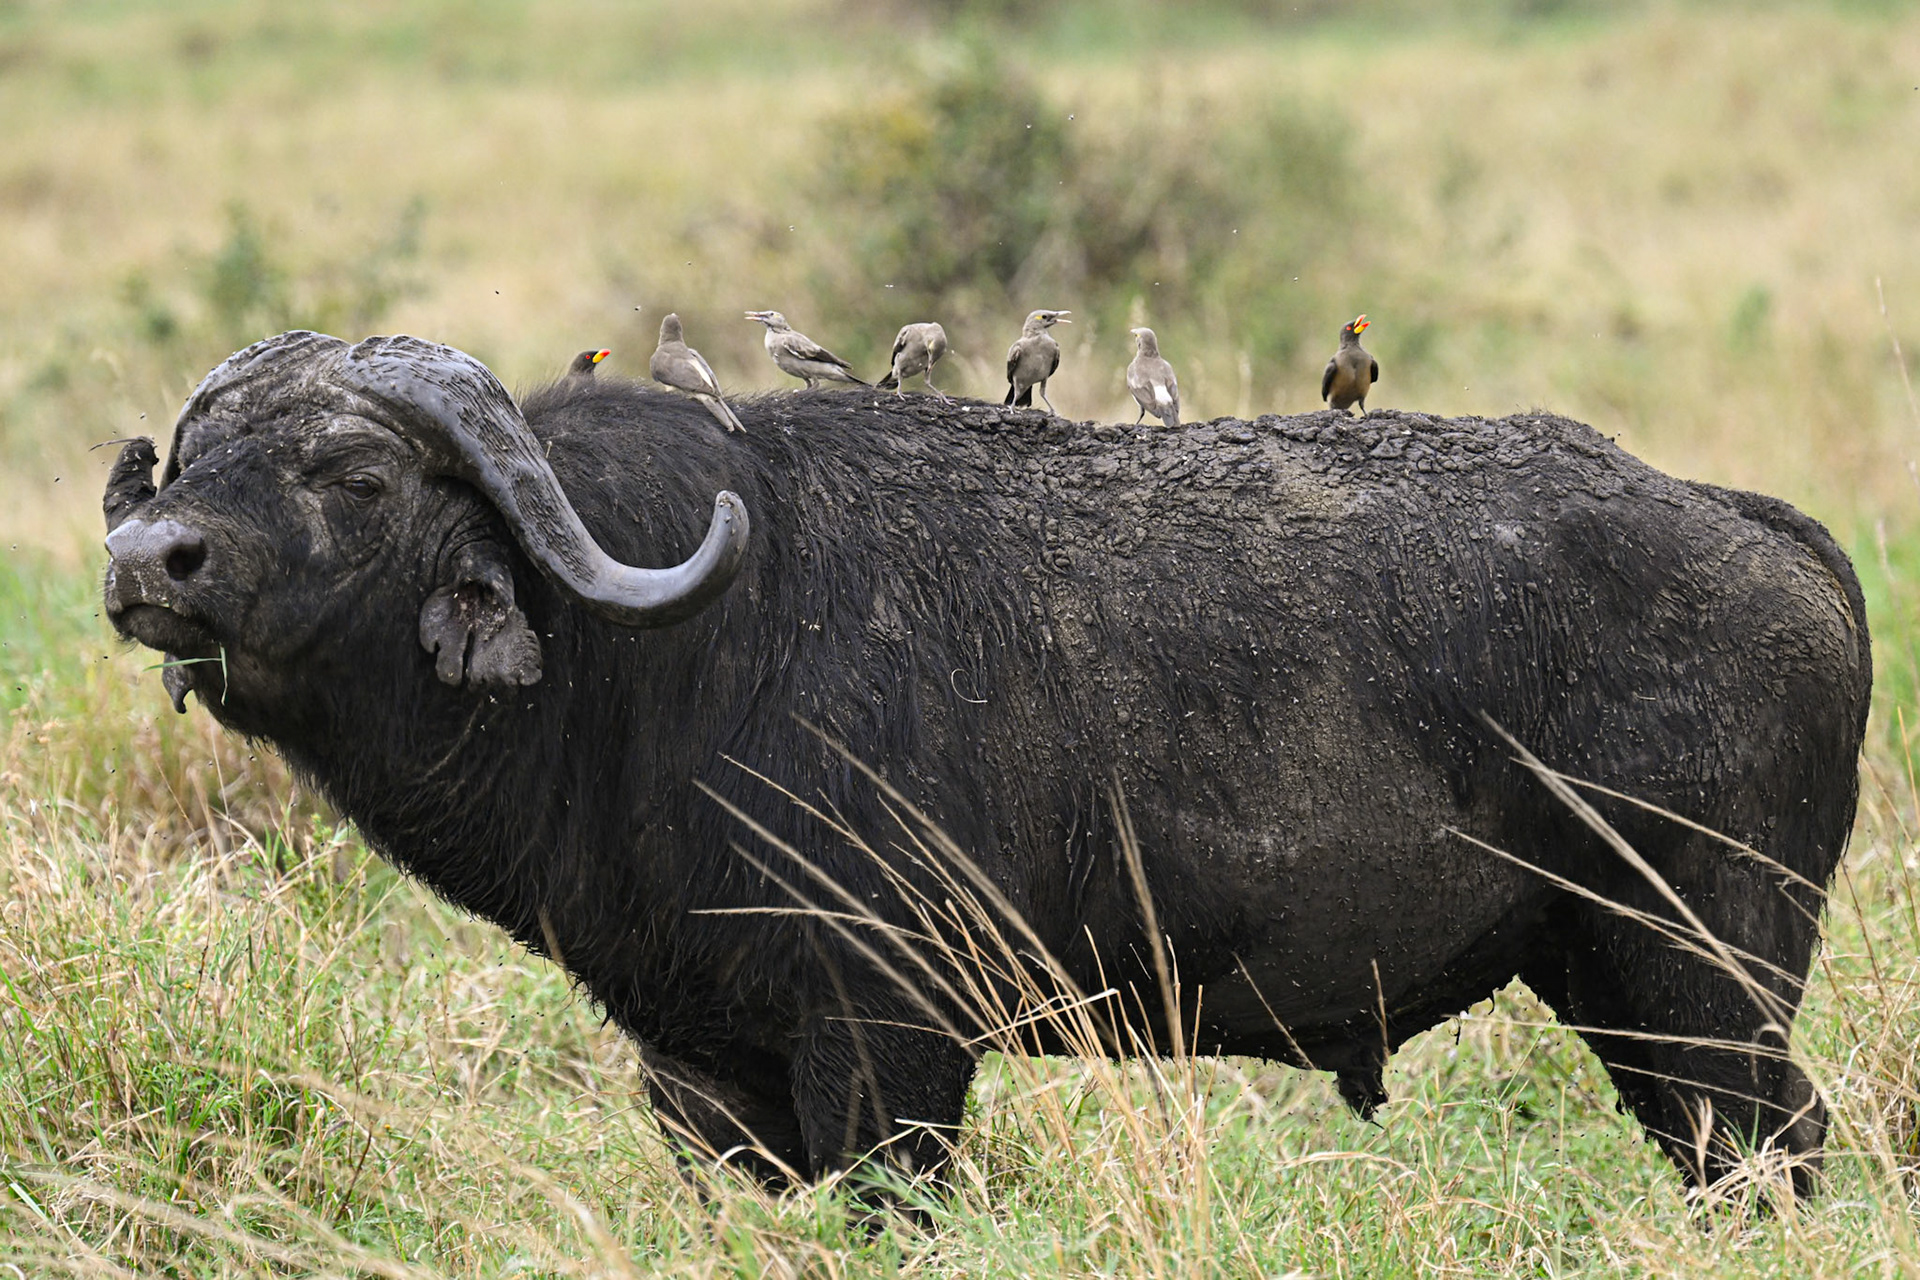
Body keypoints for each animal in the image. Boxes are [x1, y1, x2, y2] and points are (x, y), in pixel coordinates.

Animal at [102, 330, 1869, 1199]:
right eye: (192, 455)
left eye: (355, 473)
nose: (144, 560)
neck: (660, 654)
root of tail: (1765, 530)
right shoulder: (703, 1079)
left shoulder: (892, 1048)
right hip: (1629, 994)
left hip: (1700, 984)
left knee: (1778, 1154)